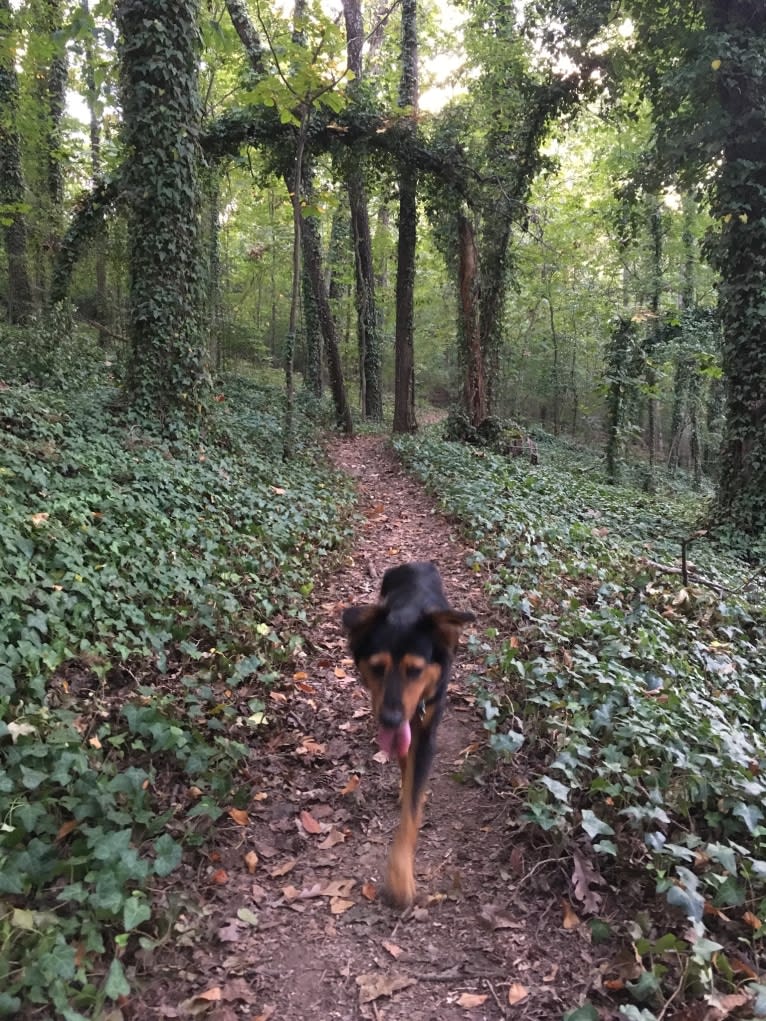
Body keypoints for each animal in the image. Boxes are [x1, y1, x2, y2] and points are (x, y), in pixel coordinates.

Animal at [341, 563, 473, 906]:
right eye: (377, 668)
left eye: (415, 670)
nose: (389, 719)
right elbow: (404, 763)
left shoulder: (426, 731)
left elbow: (412, 811)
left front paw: (400, 876)